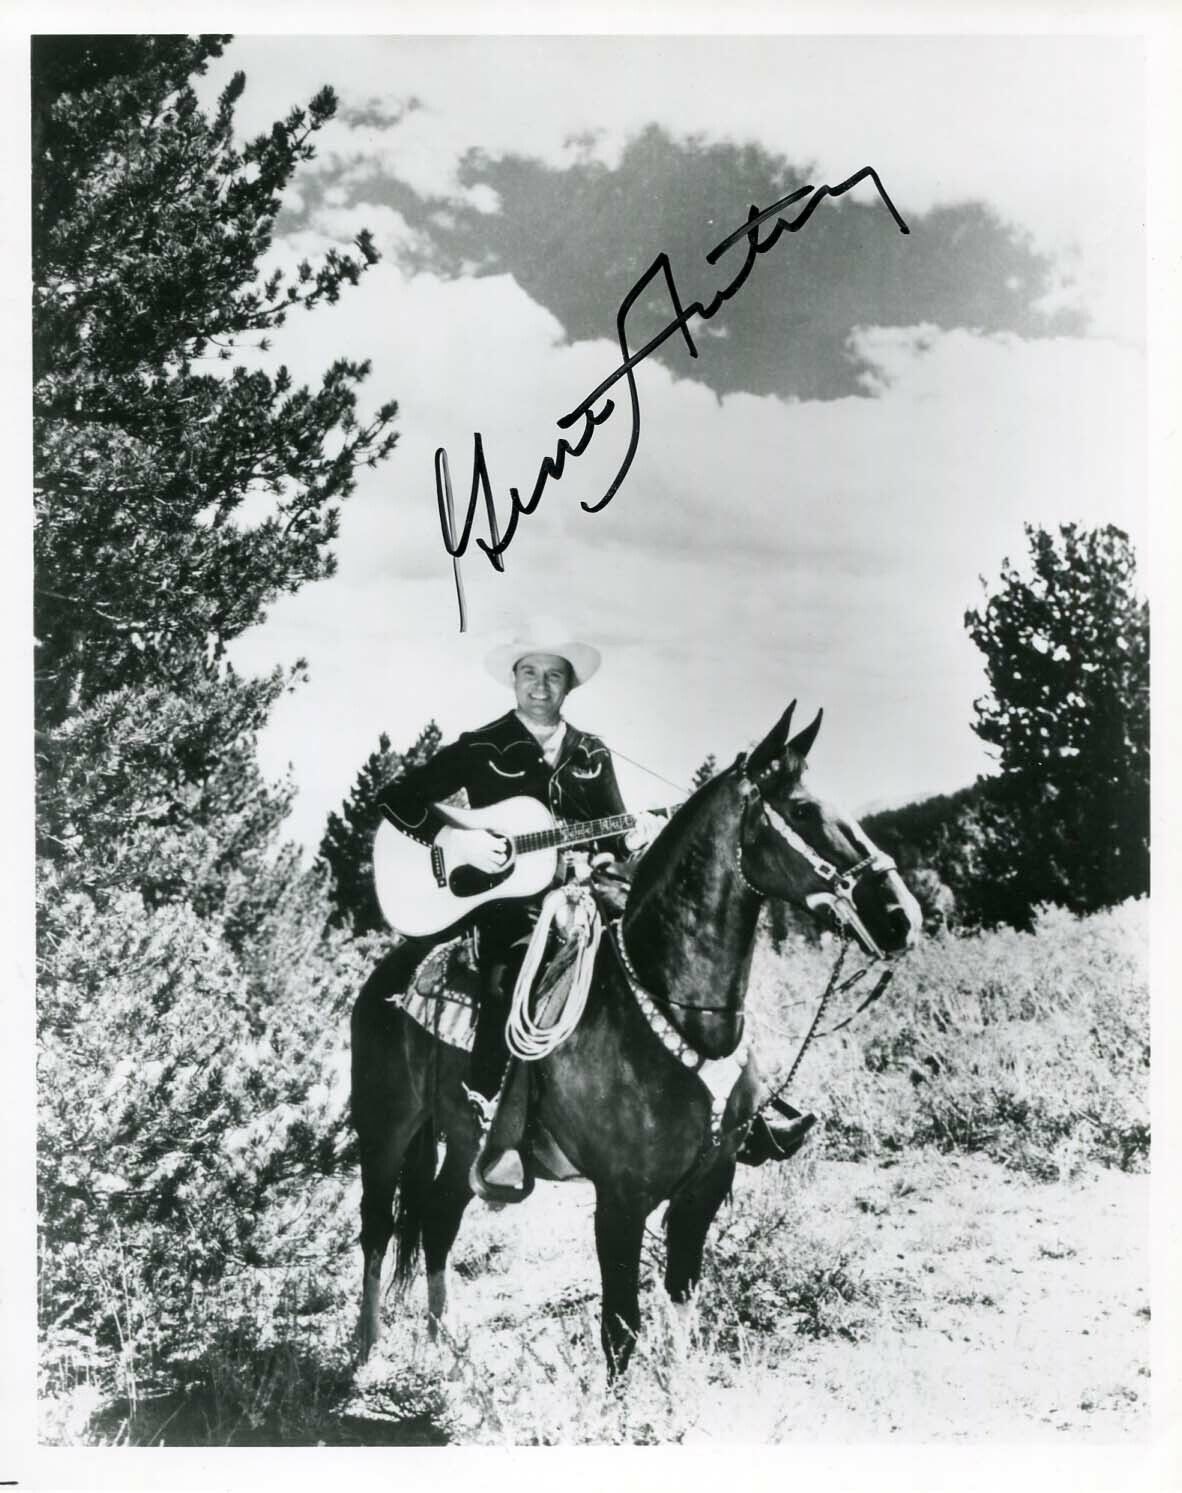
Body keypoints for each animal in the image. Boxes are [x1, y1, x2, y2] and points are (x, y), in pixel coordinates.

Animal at [349, 698, 925, 1373]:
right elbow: (620, 1331)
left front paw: (679, 1390)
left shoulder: (706, 1185)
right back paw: (368, 1348)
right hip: (384, 1127)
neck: (677, 1008)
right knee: (376, 1228)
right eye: (804, 810)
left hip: (465, 1145)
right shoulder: (619, 1200)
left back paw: (447, 1351)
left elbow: (681, 1302)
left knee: (438, 1221)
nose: (901, 916)